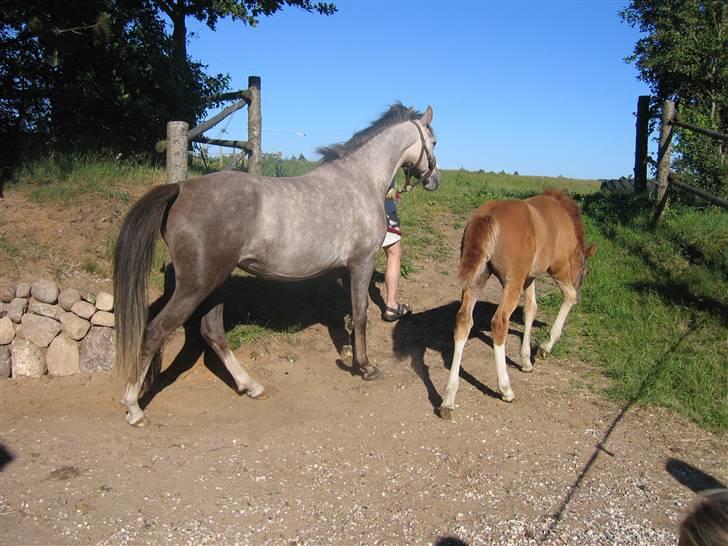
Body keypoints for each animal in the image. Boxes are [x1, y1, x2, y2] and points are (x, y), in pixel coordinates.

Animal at [114, 103, 440, 424]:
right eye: (434, 141)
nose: (435, 181)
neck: (360, 181)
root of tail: (181, 188)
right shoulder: (362, 262)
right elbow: (360, 316)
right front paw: (366, 367)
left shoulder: (346, 270)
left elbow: (349, 315)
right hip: (196, 286)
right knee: (155, 331)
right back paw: (134, 409)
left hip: (214, 284)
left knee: (212, 332)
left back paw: (251, 386)